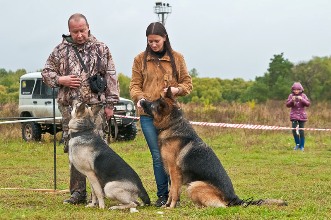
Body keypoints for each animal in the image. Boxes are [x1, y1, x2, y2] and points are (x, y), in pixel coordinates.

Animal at [141, 87, 288, 208]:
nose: (141, 100)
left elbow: (174, 192)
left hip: (194, 185)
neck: (172, 124)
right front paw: (167, 205)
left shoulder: (174, 173)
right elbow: (172, 192)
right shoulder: (172, 174)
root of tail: (234, 198)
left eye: (152, 103)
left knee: (220, 207)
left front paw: (170, 207)